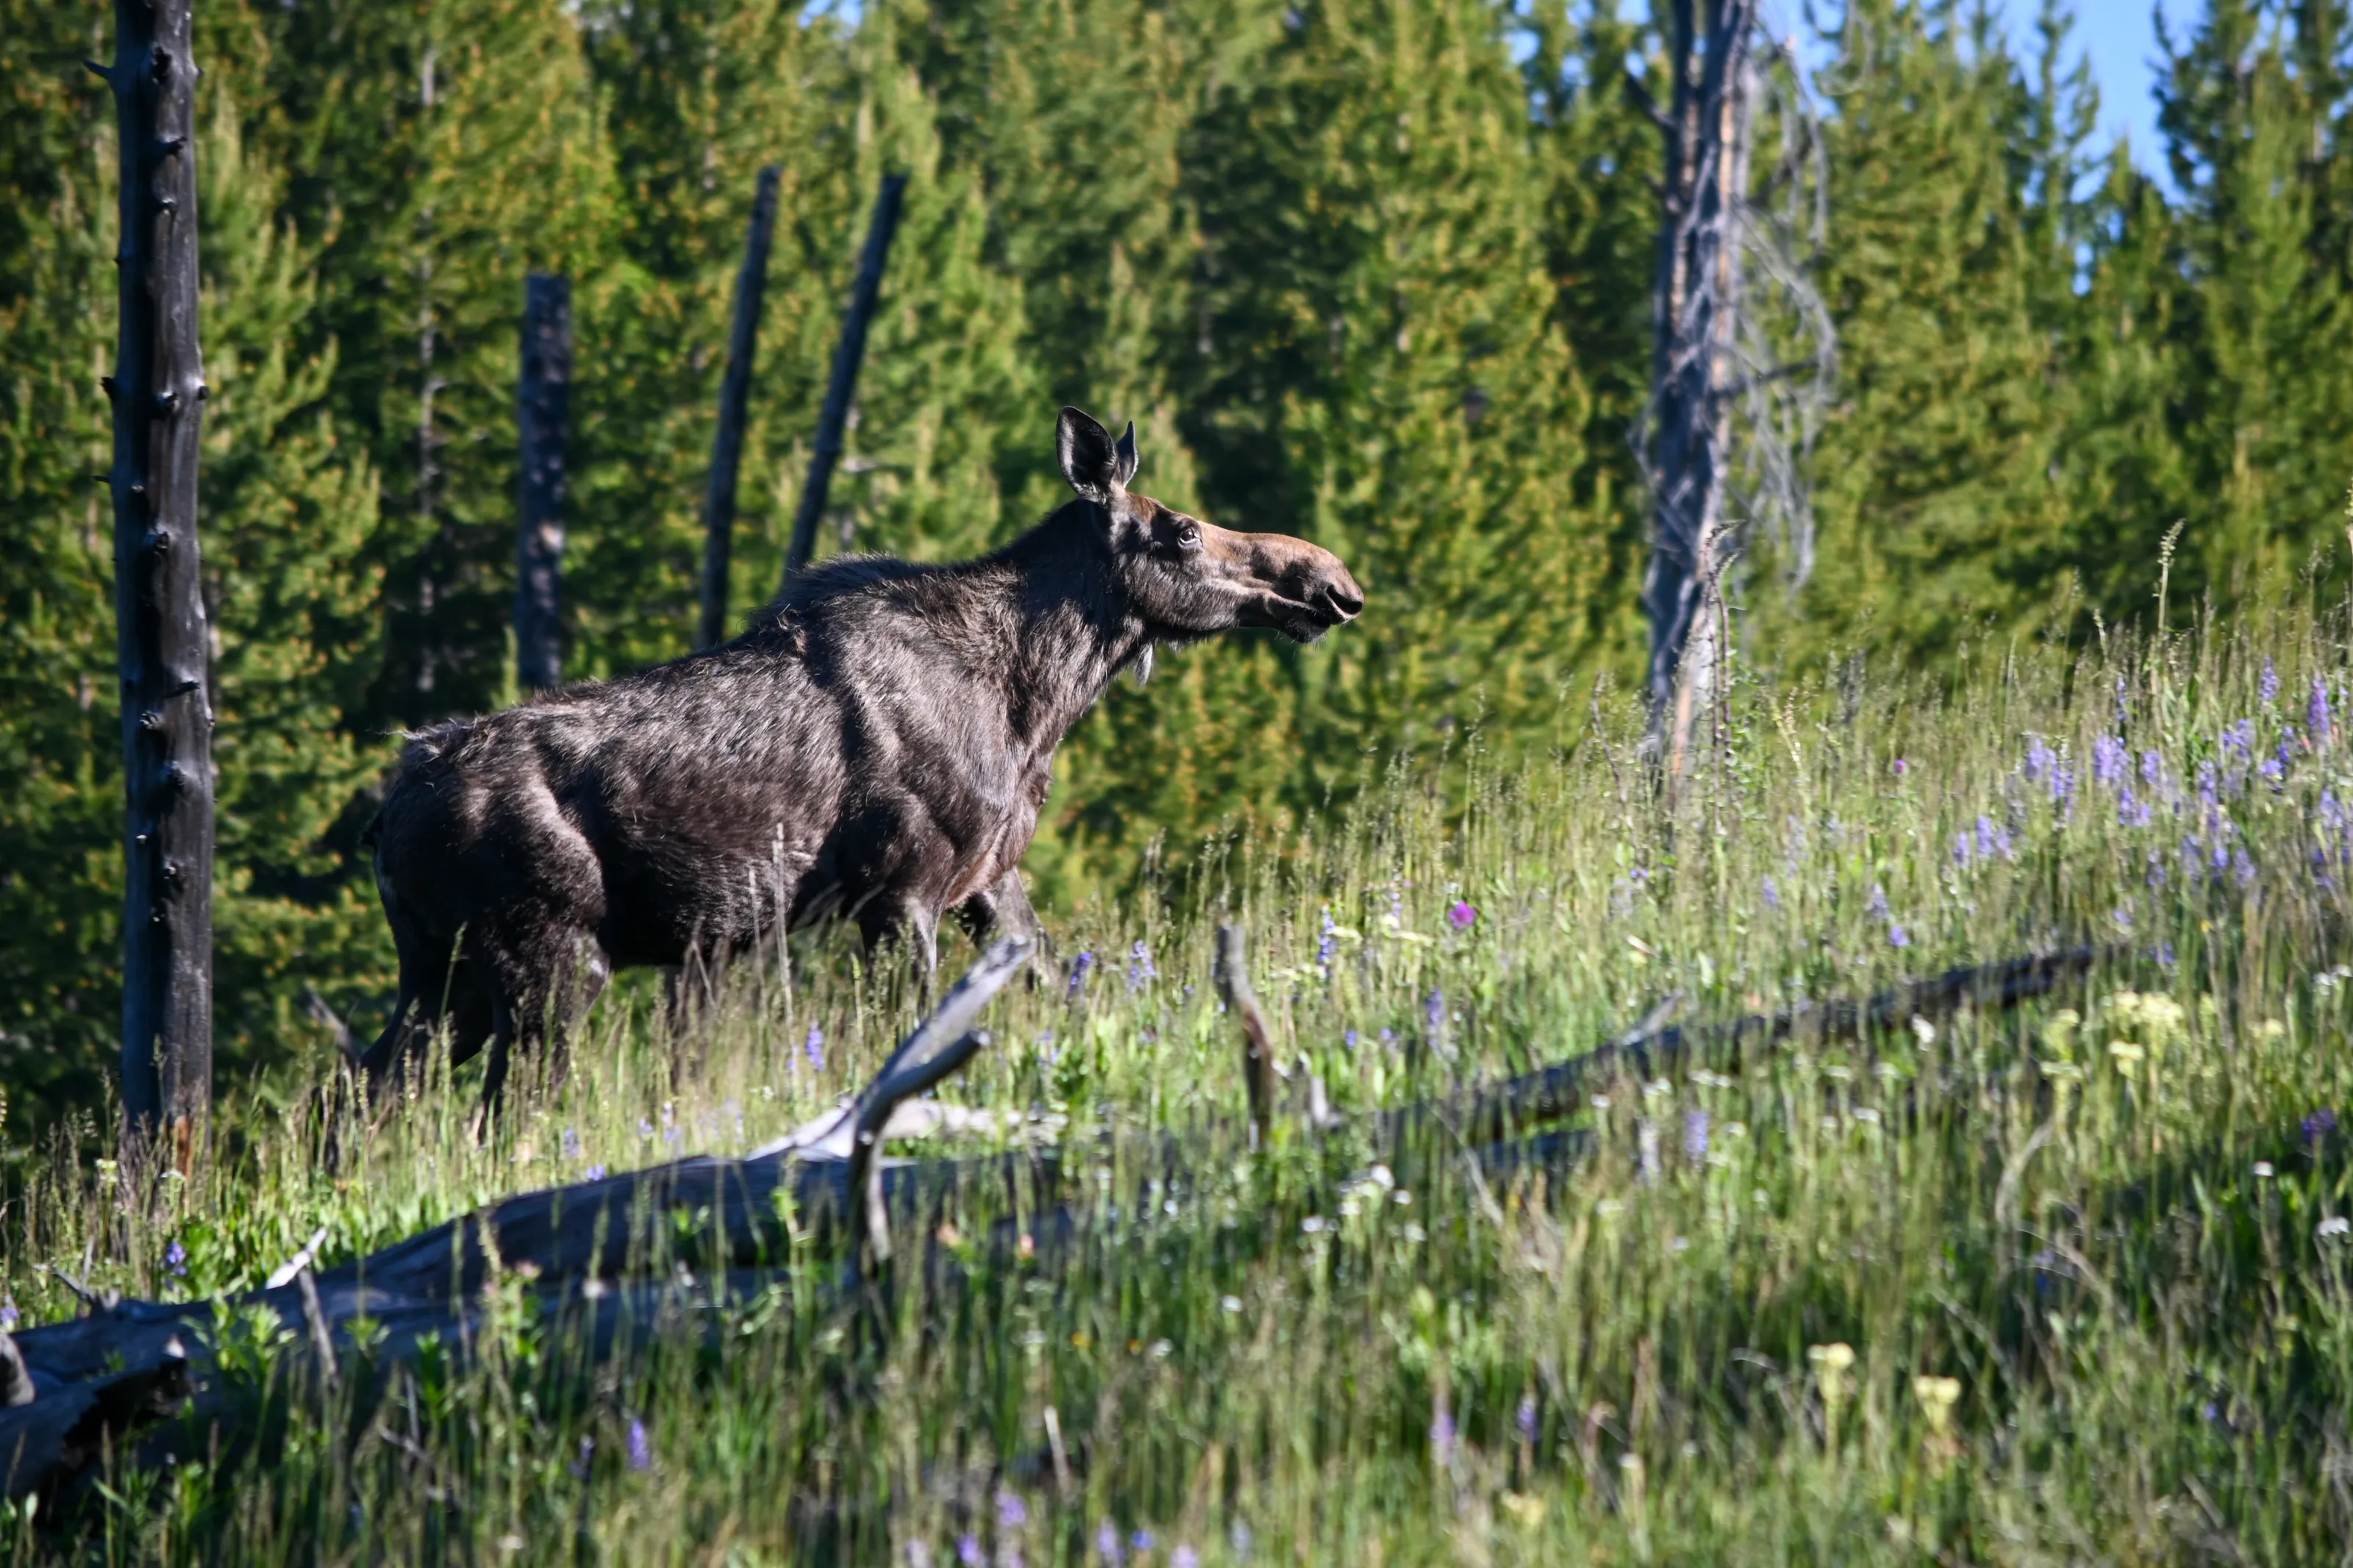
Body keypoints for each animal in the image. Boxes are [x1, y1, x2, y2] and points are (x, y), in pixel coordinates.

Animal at [359, 407, 1365, 1107]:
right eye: (1184, 529)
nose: (1332, 582)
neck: (1036, 704)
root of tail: (386, 812)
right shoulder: (899, 889)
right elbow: (915, 1041)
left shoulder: (987, 880)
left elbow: (1063, 995)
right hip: (549, 963)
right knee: (502, 1108)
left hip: (442, 972)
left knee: (363, 1095)